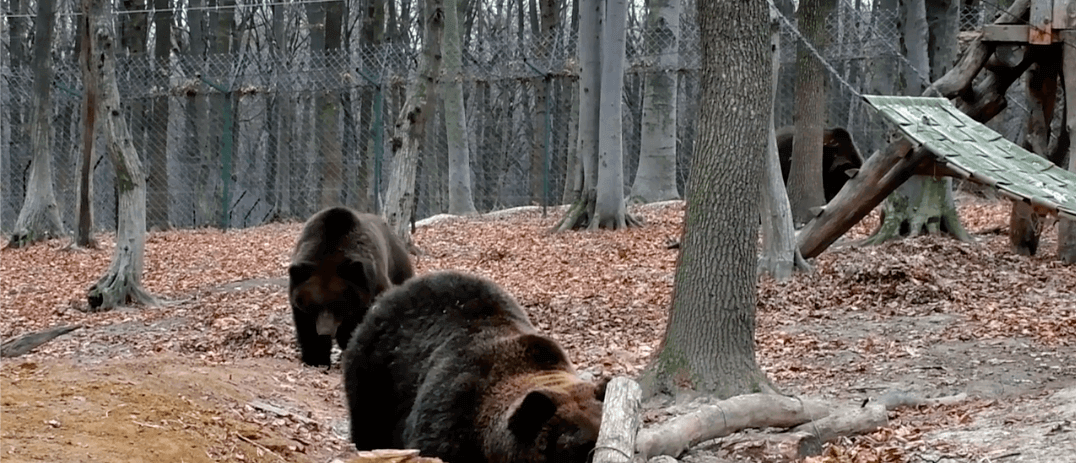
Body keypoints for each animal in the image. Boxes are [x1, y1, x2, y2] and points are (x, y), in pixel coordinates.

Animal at [288, 205, 413, 366]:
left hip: (397, 266)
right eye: (314, 306)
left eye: (337, 305)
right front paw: (316, 358)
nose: (325, 331)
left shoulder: (371, 284)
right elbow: (307, 327)